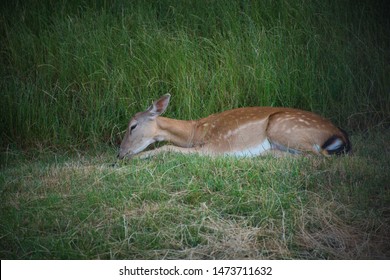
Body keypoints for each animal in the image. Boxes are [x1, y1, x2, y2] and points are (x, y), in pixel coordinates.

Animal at [116, 93, 350, 160]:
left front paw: (133, 159)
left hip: (283, 127)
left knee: (319, 157)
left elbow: (166, 147)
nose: (120, 153)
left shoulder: (212, 147)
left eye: (132, 126)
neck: (194, 131)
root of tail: (340, 134)